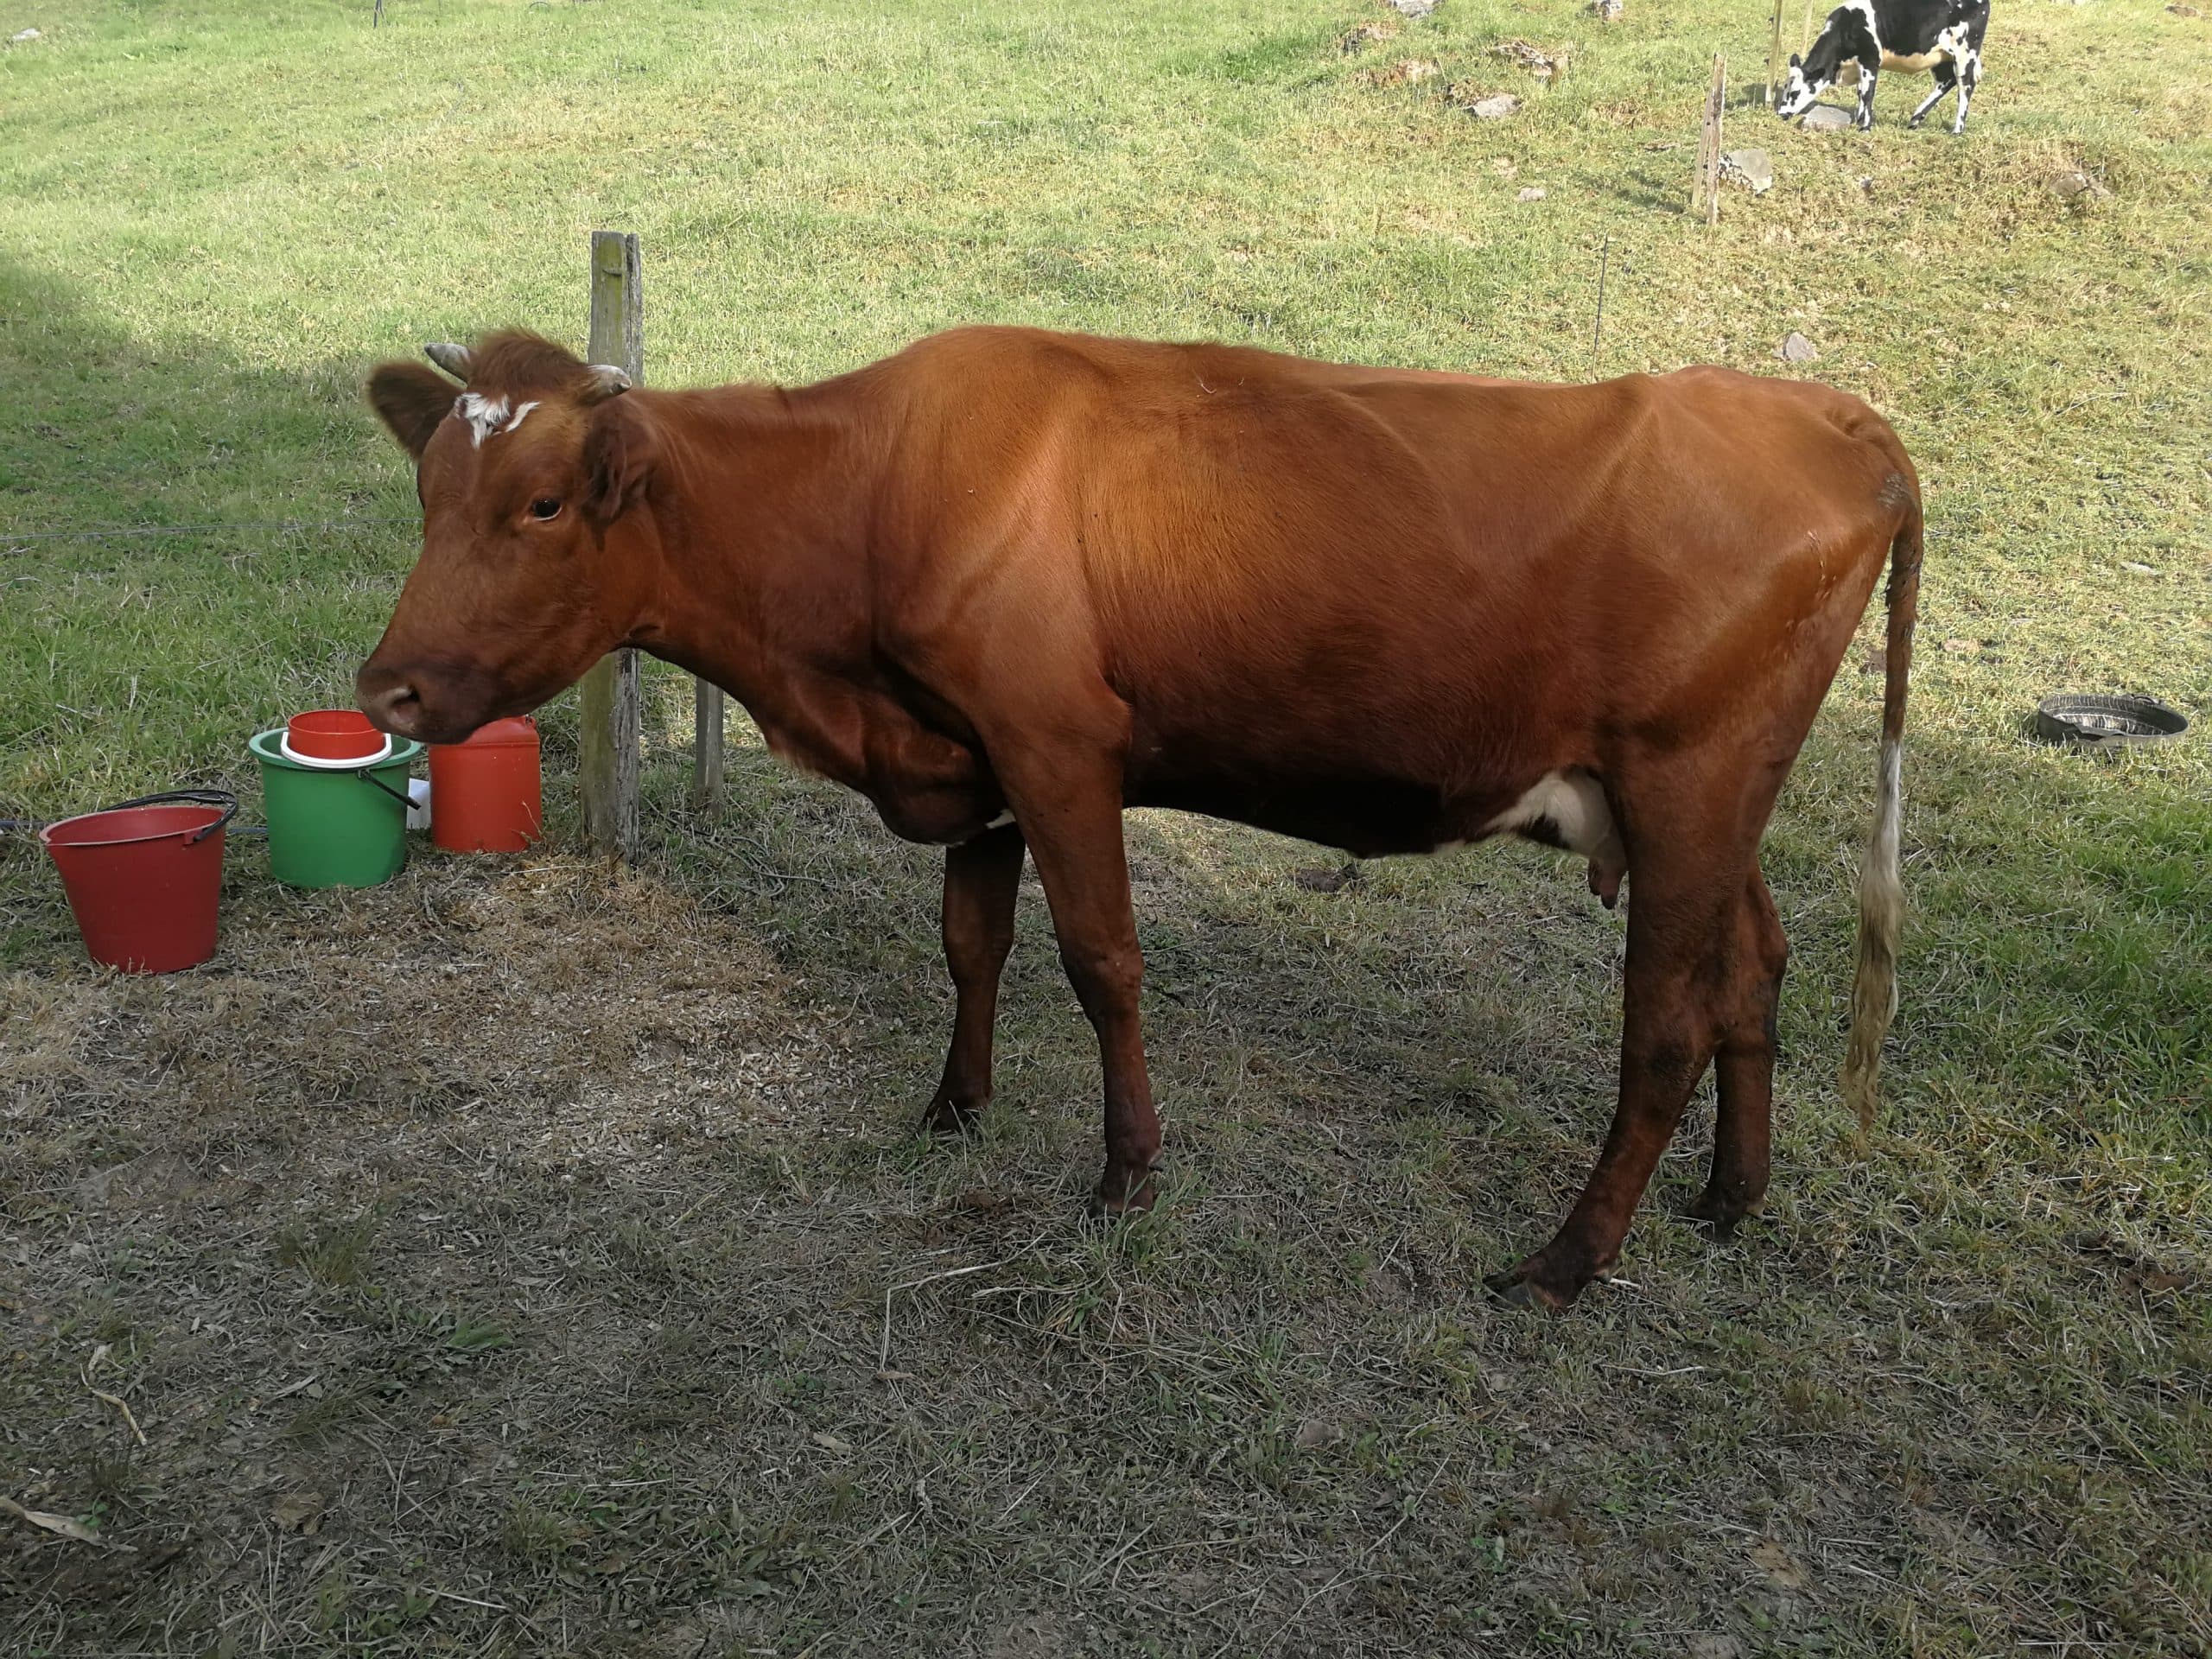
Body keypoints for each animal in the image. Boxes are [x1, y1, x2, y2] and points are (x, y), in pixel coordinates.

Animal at [358, 326, 1920, 1310]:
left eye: (543, 503)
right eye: (428, 490)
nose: (389, 686)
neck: (872, 490)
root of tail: (1828, 416)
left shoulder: (1057, 743)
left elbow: (1101, 962)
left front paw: (1125, 1171)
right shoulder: (969, 762)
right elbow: (971, 944)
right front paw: (953, 1107)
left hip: (1688, 781)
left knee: (1663, 1026)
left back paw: (1567, 1264)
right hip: (1708, 807)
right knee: (1753, 973)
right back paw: (1731, 1199)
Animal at [1777, 0, 1991, 133]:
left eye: (1795, 92)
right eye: (1784, 88)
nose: (1781, 113)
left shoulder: (1870, 59)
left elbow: (1868, 93)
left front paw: (1865, 127)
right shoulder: (1859, 65)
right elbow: (1861, 92)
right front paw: (1859, 119)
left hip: (1965, 52)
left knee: (1965, 85)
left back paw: (1957, 130)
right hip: (1942, 57)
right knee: (1947, 81)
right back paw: (1915, 118)